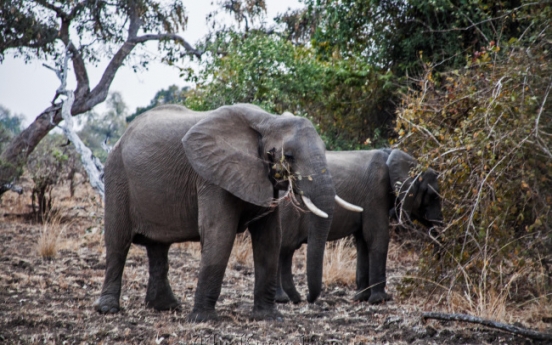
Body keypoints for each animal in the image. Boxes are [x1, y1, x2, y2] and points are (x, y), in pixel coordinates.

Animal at [93, 103, 360, 322]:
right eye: (290, 156)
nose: (307, 299)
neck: (268, 121)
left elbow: (270, 238)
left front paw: (269, 317)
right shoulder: (211, 176)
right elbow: (219, 233)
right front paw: (203, 320)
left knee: (158, 247)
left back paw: (166, 307)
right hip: (117, 175)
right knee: (118, 243)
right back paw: (108, 309)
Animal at [276, 148, 444, 304]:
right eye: (433, 196)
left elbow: (363, 241)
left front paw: (362, 298)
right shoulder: (376, 192)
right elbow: (377, 237)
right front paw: (380, 300)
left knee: (286, 252)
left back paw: (293, 298)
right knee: (284, 249)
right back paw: (284, 299)